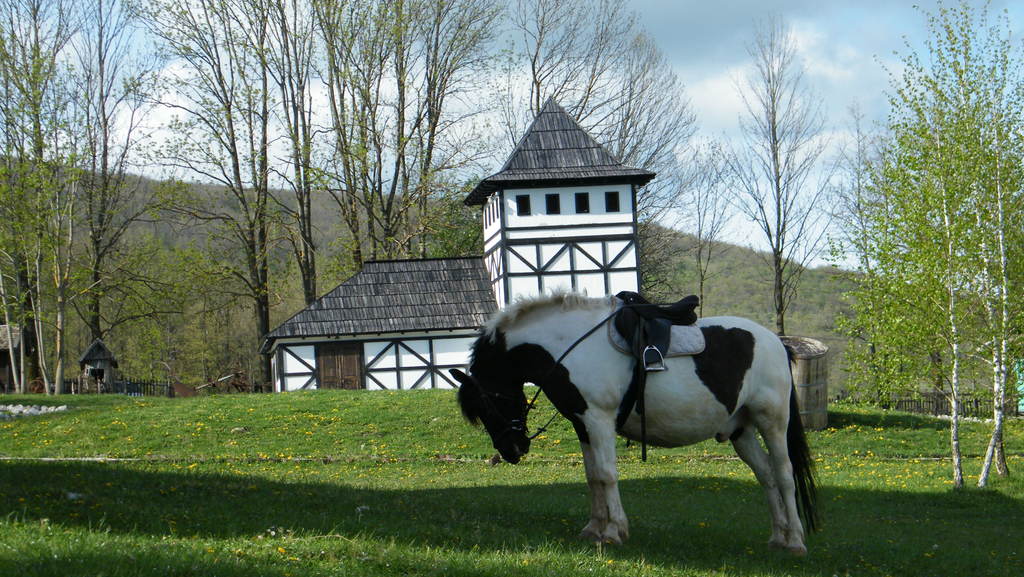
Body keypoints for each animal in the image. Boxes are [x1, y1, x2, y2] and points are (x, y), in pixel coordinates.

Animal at [452, 293, 819, 553]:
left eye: (490, 401)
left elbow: (606, 474)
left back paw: (796, 541)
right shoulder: (582, 424)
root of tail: (777, 342)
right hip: (741, 430)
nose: (511, 450)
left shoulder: (598, 419)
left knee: (784, 475)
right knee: (766, 476)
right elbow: (592, 477)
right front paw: (594, 529)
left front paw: (614, 531)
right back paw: (778, 537)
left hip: (773, 422)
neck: (569, 346)